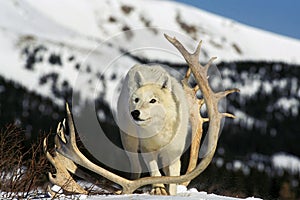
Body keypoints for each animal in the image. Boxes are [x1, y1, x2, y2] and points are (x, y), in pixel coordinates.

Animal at [116, 64, 189, 195]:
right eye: (137, 100)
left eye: (153, 100)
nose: (135, 113)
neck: (159, 131)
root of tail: (141, 65)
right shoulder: (147, 149)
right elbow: (155, 172)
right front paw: (159, 189)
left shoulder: (174, 153)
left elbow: (172, 179)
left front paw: (171, 193)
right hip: (129, 141)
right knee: (137, 167)